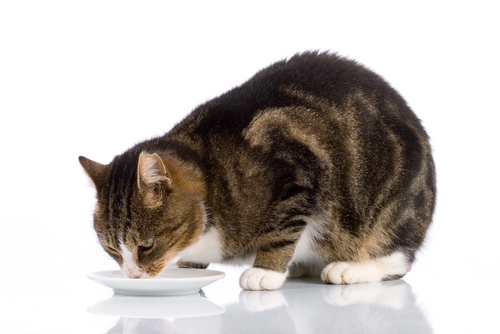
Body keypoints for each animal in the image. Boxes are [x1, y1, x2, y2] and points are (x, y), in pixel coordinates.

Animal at [78, 51, 434, 290]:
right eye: (112, 249)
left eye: (146, 246)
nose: (132, 275)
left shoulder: (295, 169)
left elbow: (281, 230)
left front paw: (267, 271)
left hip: (393, 207)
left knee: (397, 256)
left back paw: (350, 269)